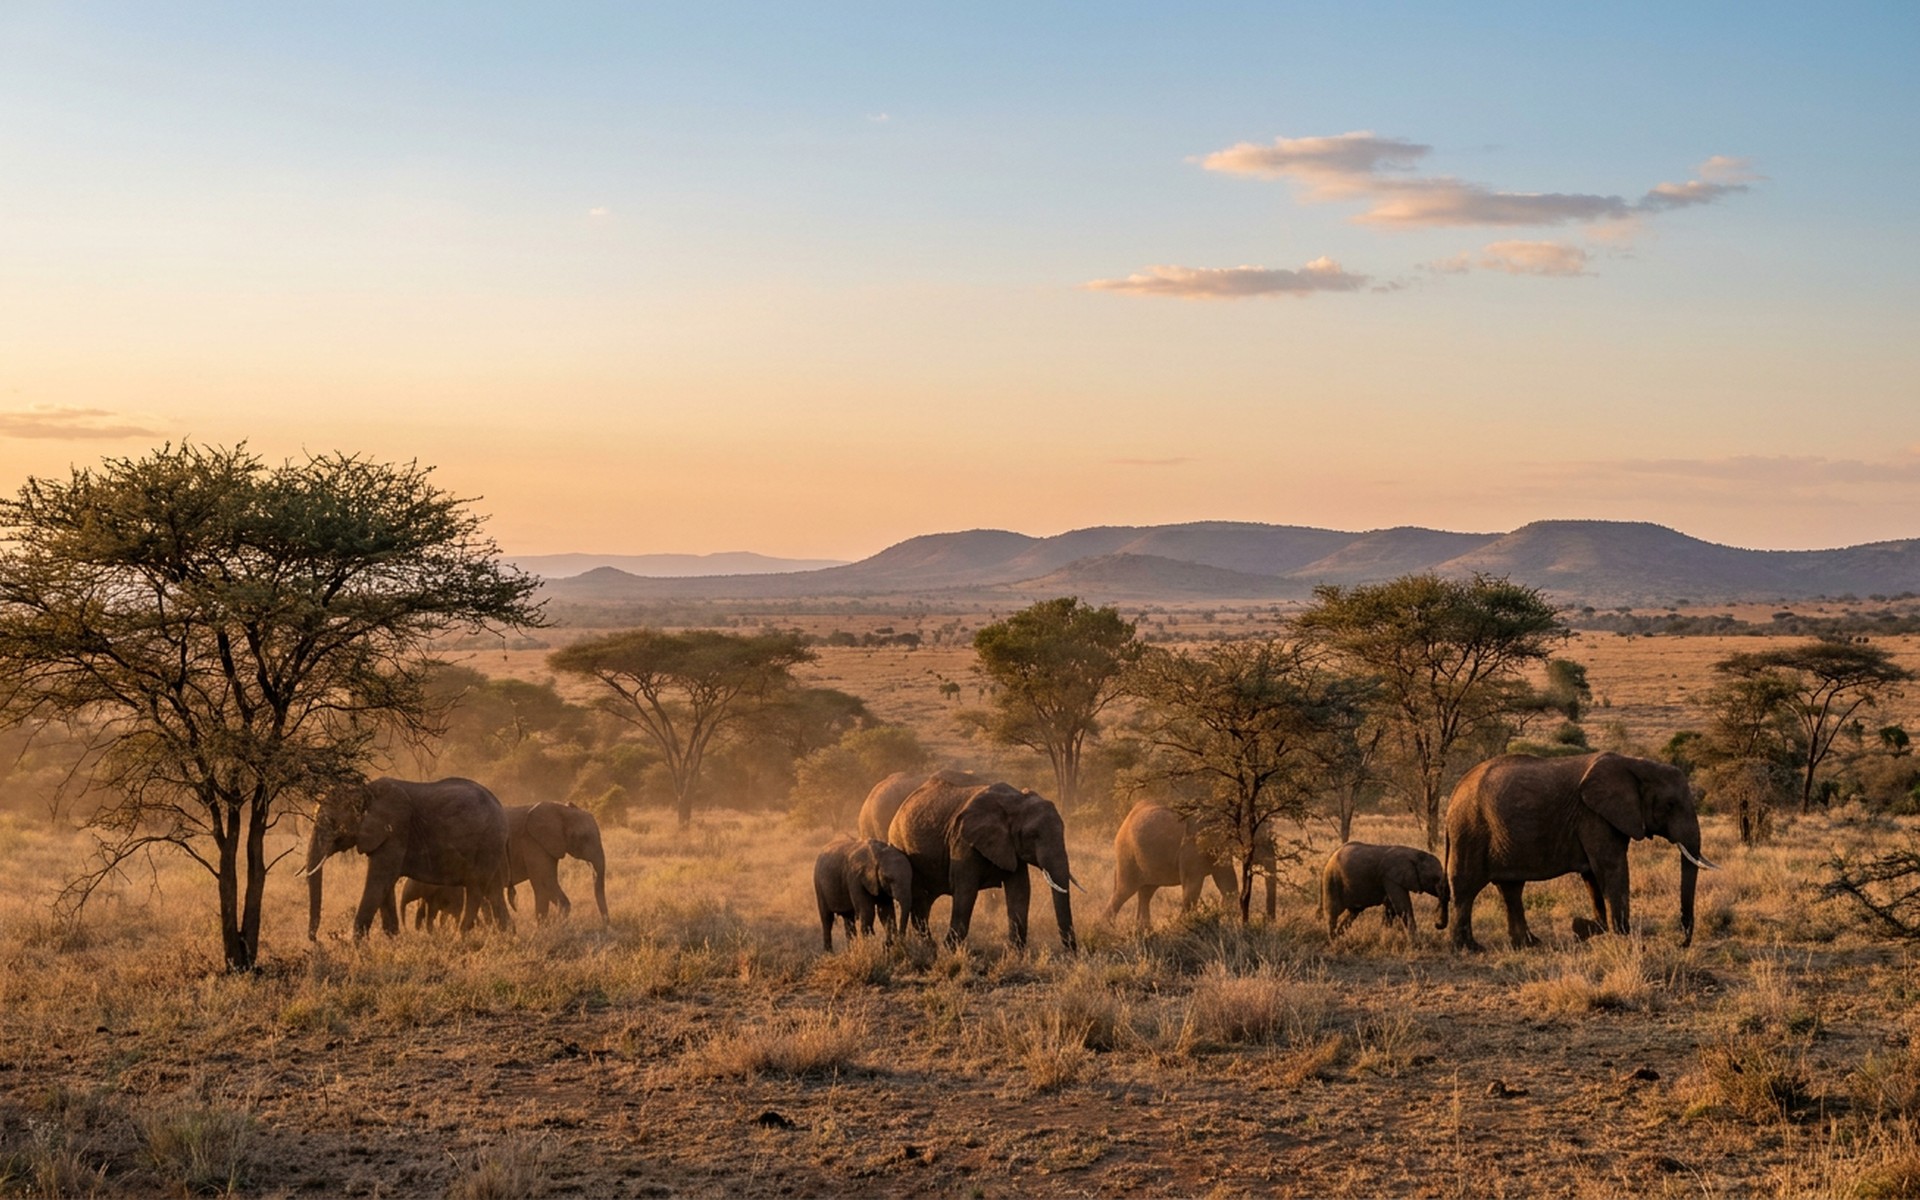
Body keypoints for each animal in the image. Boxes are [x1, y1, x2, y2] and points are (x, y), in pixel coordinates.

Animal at [302, 776, 513, 940]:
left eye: (332, 822)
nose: (315, 939)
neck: (365, 791)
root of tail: (499, 805)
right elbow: (385, 886)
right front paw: (394, 940)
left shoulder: (396, 831)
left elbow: (379, 881)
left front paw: (360, 946)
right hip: (492, 846)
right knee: (494, 892)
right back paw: (507, 938)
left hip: (486, 843)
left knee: (476, 887)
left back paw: (459, 937)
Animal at [888, 776, 1076, 951]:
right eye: (1033, 835)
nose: (1071, 954)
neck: (1016, 801)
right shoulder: (963, 843)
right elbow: (966, 892)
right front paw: (948, 950)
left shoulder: (1010, 846)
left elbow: (1020, 892)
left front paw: (1015, 954)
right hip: (900, 846)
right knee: (918, 898)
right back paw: (930, 947)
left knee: (924, 902)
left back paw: (929, 946)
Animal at [1104, 802, 1277, 930]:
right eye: (1261, 843)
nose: (1269, 922)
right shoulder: (1192, 849)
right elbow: (1192, 887)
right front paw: (1180, 927)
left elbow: (1228, 885)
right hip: (1127, 855)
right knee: (1124, 890)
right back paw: (1106, 929)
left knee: (1146, 892)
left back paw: (1144, 931)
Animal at [1445, 751, 1718, 952]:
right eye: (1670, 805)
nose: (1681, 943)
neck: (1634, 764)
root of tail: (1455, 791)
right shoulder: (1594, 816)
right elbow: (1610, 868)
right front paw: (1623, 939)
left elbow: (1593, 876)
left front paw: (1587, 928)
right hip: (1470, 830)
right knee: (1466, 887)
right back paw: (1469, 948)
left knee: (1511, 889)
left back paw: (1528, 944)